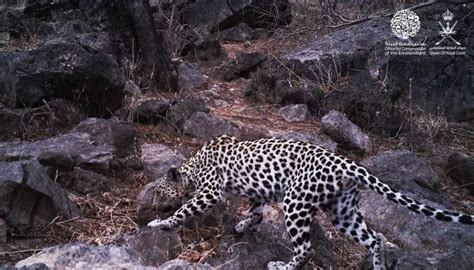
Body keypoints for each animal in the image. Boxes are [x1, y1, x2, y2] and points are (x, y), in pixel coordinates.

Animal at [148, 134, 474, 268]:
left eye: (159, 192)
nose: (152, 205)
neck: (193, 166)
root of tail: (348, 164)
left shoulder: (210, 191)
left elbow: (184, 209)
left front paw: (161, 223)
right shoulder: (256, 192)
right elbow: (256, 213)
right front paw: (242, 226)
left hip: (296, 203)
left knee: (305, 249)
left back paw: (281, 266)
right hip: (343, 213)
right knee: (374, 239)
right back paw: (378, 267)